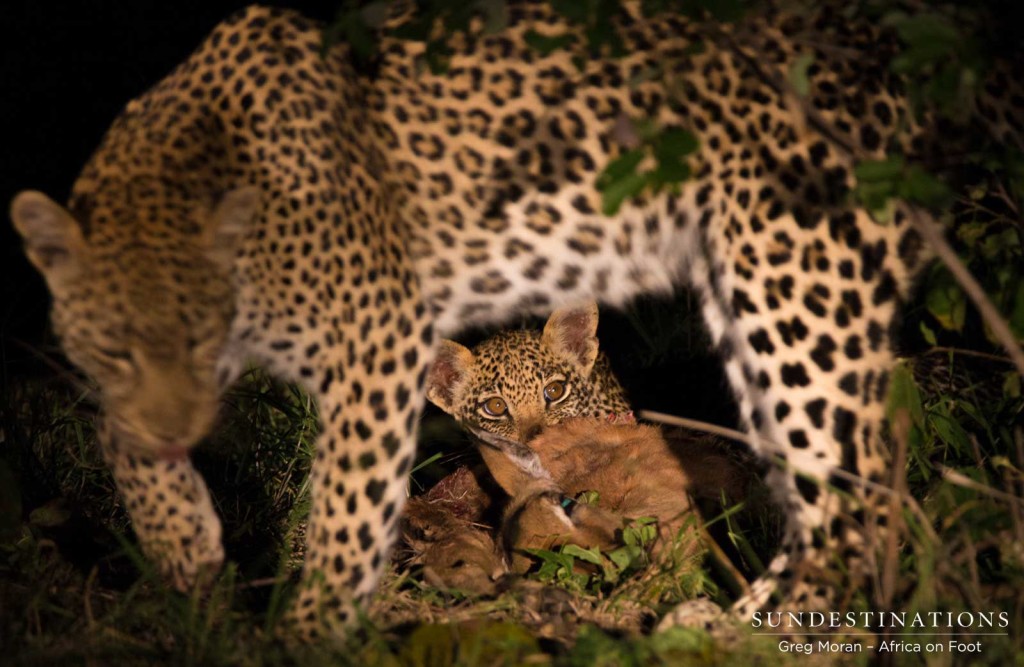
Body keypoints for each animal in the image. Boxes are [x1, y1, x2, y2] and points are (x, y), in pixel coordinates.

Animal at [8, 0, 1015, 643]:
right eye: (114, 348)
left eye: (560, 394)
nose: (547, 443)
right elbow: (131, 444)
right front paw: (185, 552)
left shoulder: (378, 342)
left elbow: (345, 509)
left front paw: (308, 630)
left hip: (790, 270)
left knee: (849, 490)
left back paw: (745, 632)